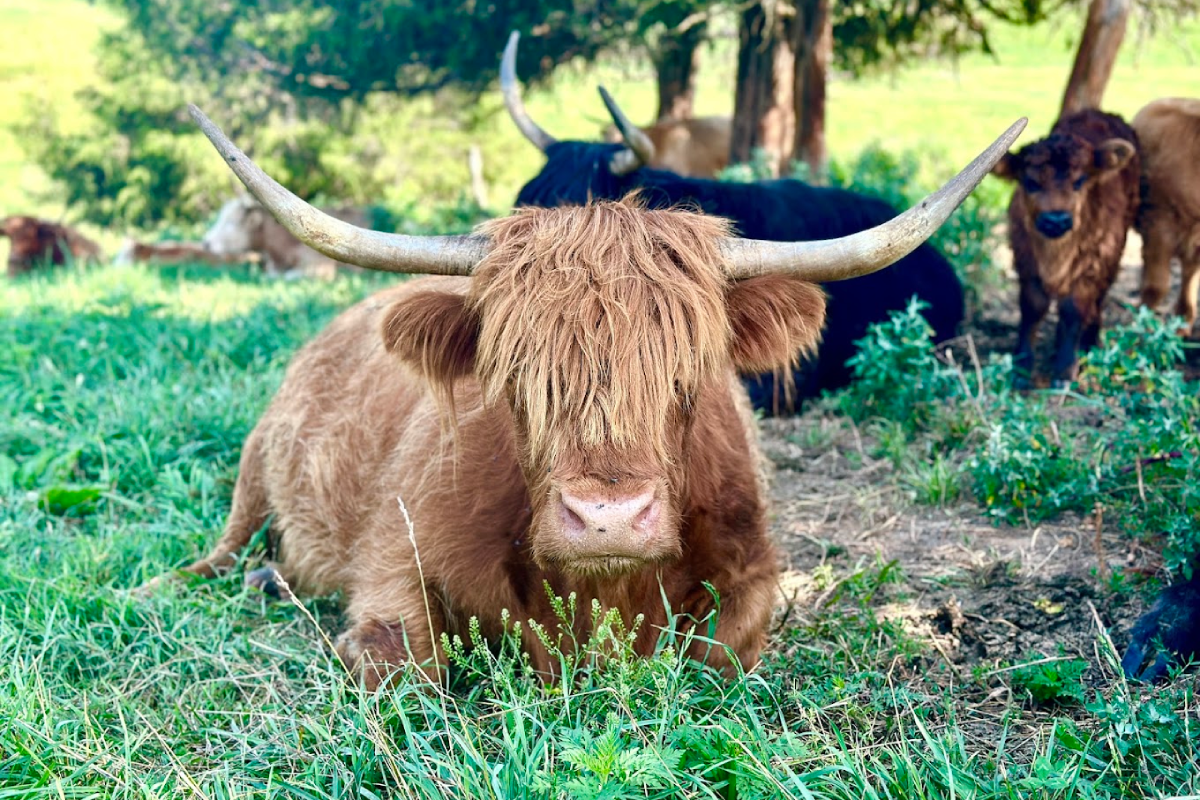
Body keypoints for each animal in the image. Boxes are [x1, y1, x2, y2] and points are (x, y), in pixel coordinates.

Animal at [992, 109, 1140, 388]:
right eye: (1030, 182)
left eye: (1079, 181)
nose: (1056, 220)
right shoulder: (1026, 263)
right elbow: (1032, 307)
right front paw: (1021, 368)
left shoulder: (1093, 266)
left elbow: (1073, 310)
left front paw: (1064, 372)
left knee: (1097, 301)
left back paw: (1089, 344)